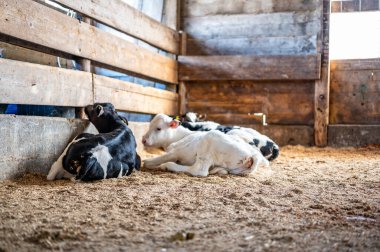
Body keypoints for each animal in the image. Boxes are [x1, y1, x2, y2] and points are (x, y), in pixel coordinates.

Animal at [140, 113, 268, 176]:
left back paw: (168, 166)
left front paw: (153, 164)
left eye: (158, 128)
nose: (143, 140)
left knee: (199, 171)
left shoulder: (175, 152)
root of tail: (253, 155)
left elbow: (148, 162)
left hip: (208, 143)